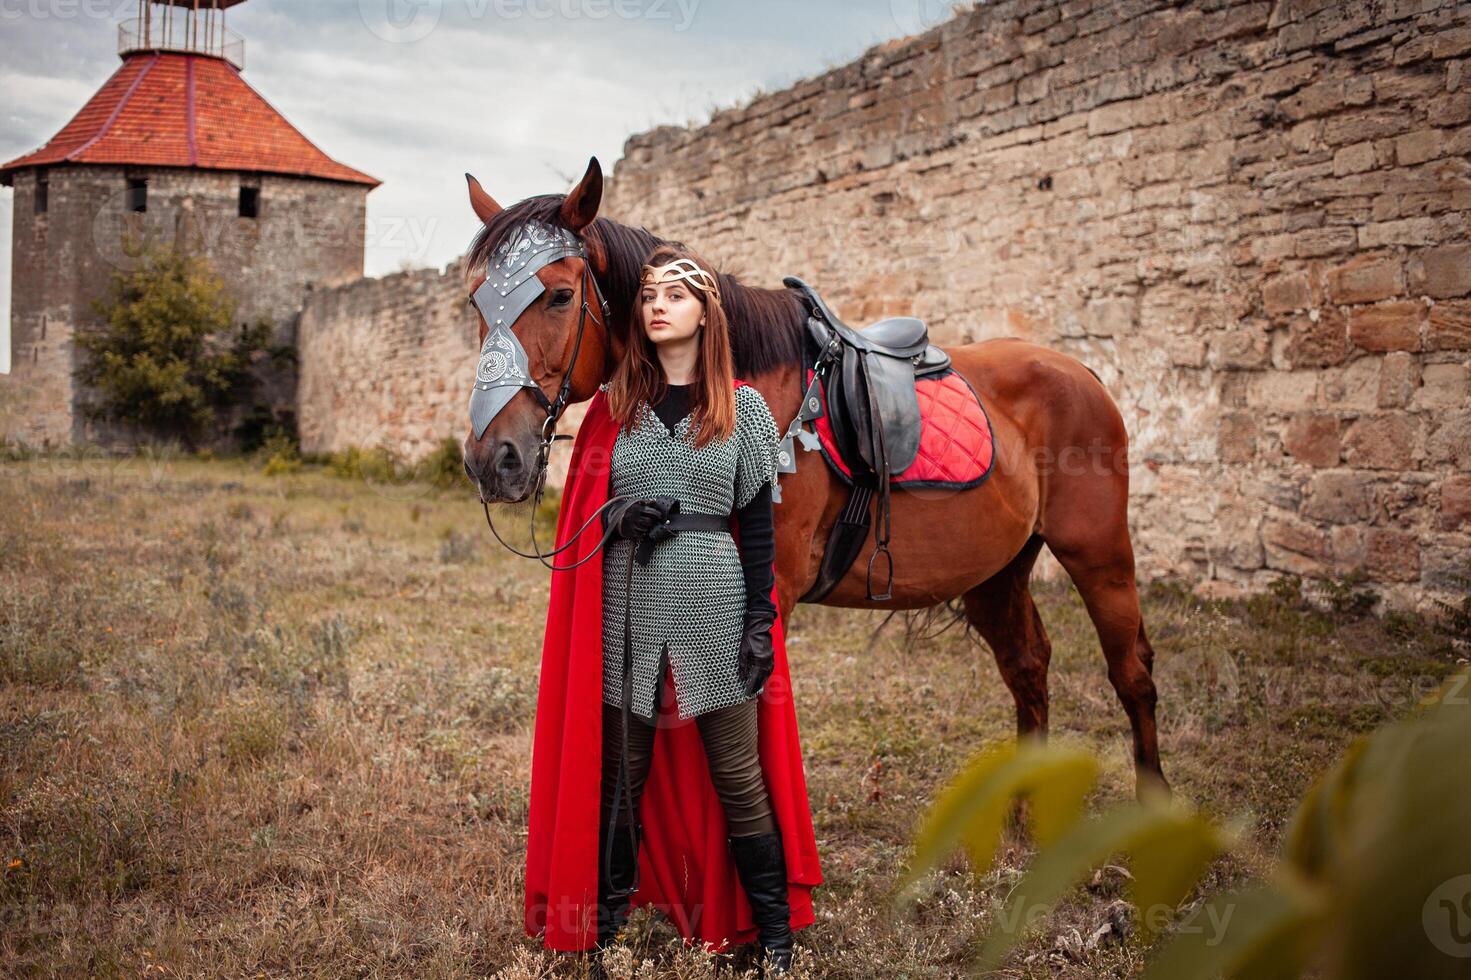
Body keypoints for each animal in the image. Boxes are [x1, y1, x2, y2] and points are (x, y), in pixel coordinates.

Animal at [458, 154, 1170, 794]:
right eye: (478, 306)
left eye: (559, 295)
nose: (494, 458)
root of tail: (1082, 373)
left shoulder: (768, 589)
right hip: (997, 570)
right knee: (1028, 665)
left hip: (1100, 554)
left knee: (1132, 672)